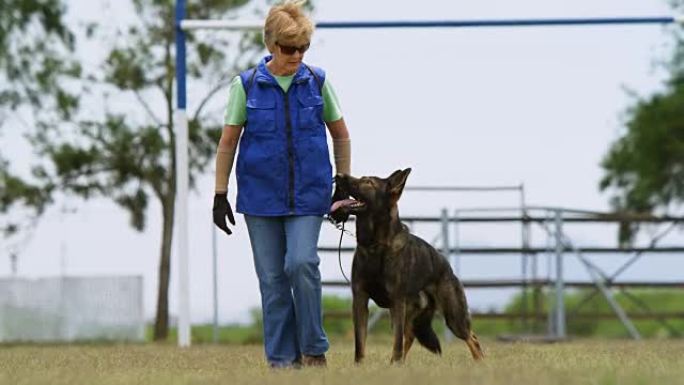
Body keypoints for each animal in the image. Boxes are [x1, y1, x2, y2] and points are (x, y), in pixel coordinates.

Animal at [334, 169, 484, 364]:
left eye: (368, 182)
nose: (338, 176)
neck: (376, 245)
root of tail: (447, 268)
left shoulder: (397, 302)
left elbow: (396, 342)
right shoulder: (360, 300)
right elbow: (360, 343)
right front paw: (360, 366)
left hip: (453, 318)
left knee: (471, 337)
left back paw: (480, 362)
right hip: (409, 317)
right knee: (410, 337)